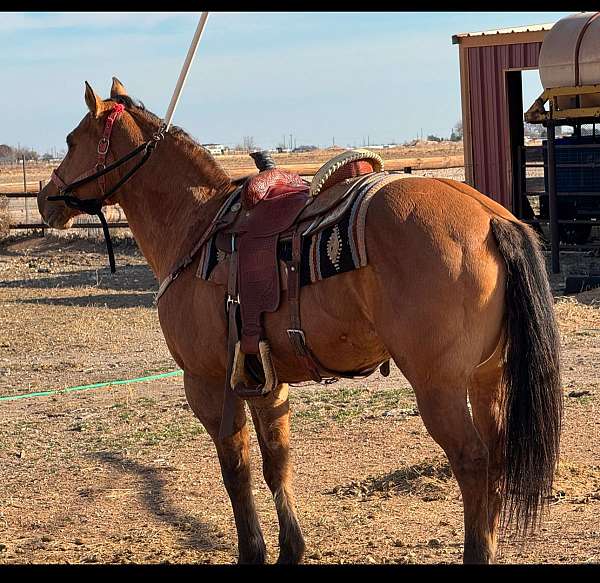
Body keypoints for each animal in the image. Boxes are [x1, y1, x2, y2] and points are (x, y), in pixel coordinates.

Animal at [37, 80, 564, 564]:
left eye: (70, 139)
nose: (46, 198)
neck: (196, 224)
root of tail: (491, 218)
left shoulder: (207, 384)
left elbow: (236, 470)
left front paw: (252, 552)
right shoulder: (266, 381)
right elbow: (277, 464)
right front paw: (291, 549)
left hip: (441, 387)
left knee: (473, 464)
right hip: (488, 376)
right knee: (496, 457)